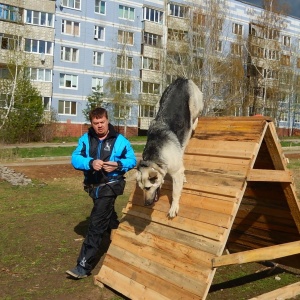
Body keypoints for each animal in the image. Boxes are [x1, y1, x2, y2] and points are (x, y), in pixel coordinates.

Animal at [137, 78, 204, 218]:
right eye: (141, 189)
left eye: (148, 188)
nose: (146, 204)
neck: (154, 159)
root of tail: (182, 79)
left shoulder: (176, 172)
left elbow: (175, 193)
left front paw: (174, 207)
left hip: (196, 105)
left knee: (196, 116)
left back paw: (194, 124)